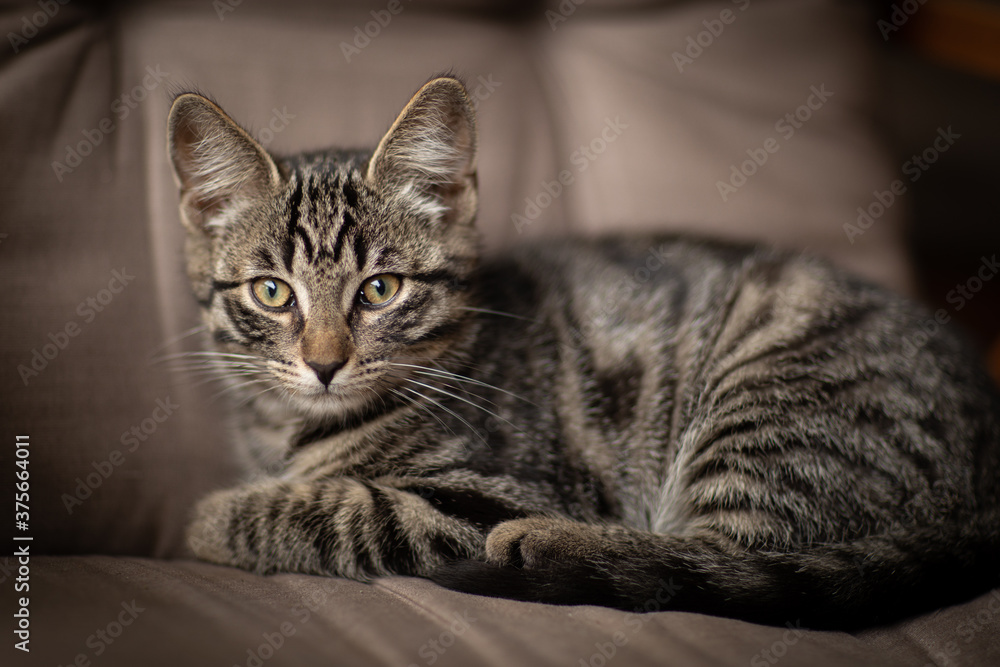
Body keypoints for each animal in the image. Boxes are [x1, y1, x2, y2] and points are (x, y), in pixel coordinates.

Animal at [168, 75, 1000, 628]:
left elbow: (338, 508)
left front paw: (207, 518)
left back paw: (544, 548)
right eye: (272, 292)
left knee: (714, 562)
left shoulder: (490, 491)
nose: (325, 362)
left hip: (777, 406)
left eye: (380, 289)